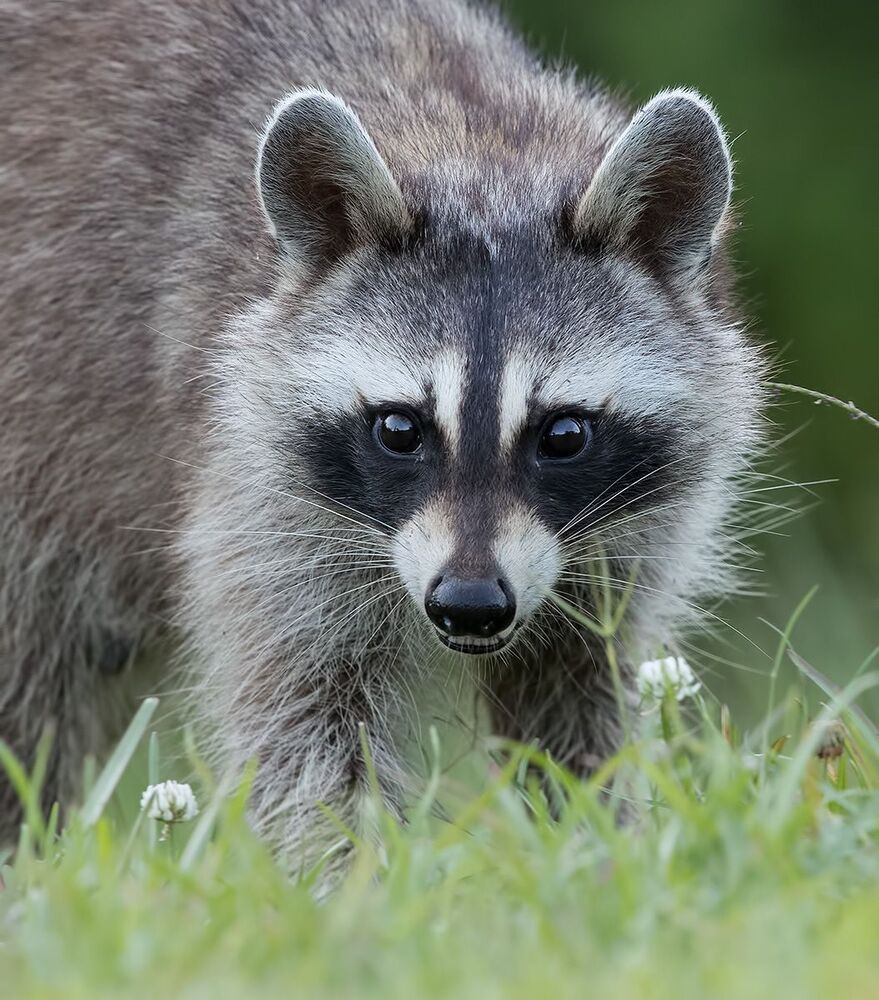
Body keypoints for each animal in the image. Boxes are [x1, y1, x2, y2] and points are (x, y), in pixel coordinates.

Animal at [0, 0, 763, 858]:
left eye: (563, 435)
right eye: (400, 429)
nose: (470, 603)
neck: (477, 141)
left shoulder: (630, 530)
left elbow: (576, 690)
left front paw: (592, 845)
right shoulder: (254, 485)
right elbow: (305, 726)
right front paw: (351, 877)